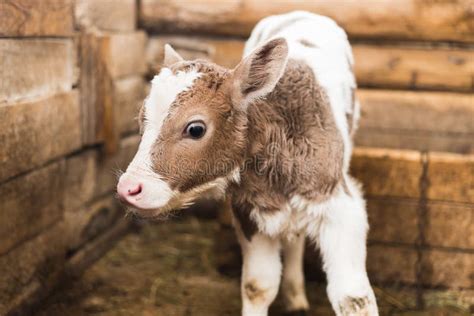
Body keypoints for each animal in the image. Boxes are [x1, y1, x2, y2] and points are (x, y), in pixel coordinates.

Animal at [117, 10, 378, 316]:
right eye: (141, 120)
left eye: (195, 128)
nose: (128, 188)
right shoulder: (248, 210)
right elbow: (258, 286)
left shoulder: (340, 205)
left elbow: (353, 298)